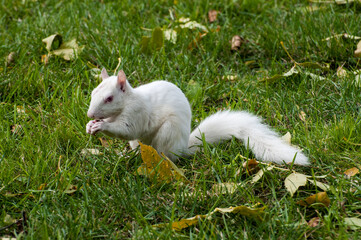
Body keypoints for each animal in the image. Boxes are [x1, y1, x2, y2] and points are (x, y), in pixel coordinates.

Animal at [86, 68, 308, 165]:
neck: (126, 103)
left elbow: (126, 129)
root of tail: (183, 147)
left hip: (168, 133)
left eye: (109, 98)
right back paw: (127, 156)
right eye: (93, 92)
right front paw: (91, 124)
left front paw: (101, 127)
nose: (89, 113)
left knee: (165, 155)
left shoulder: (137, 112)